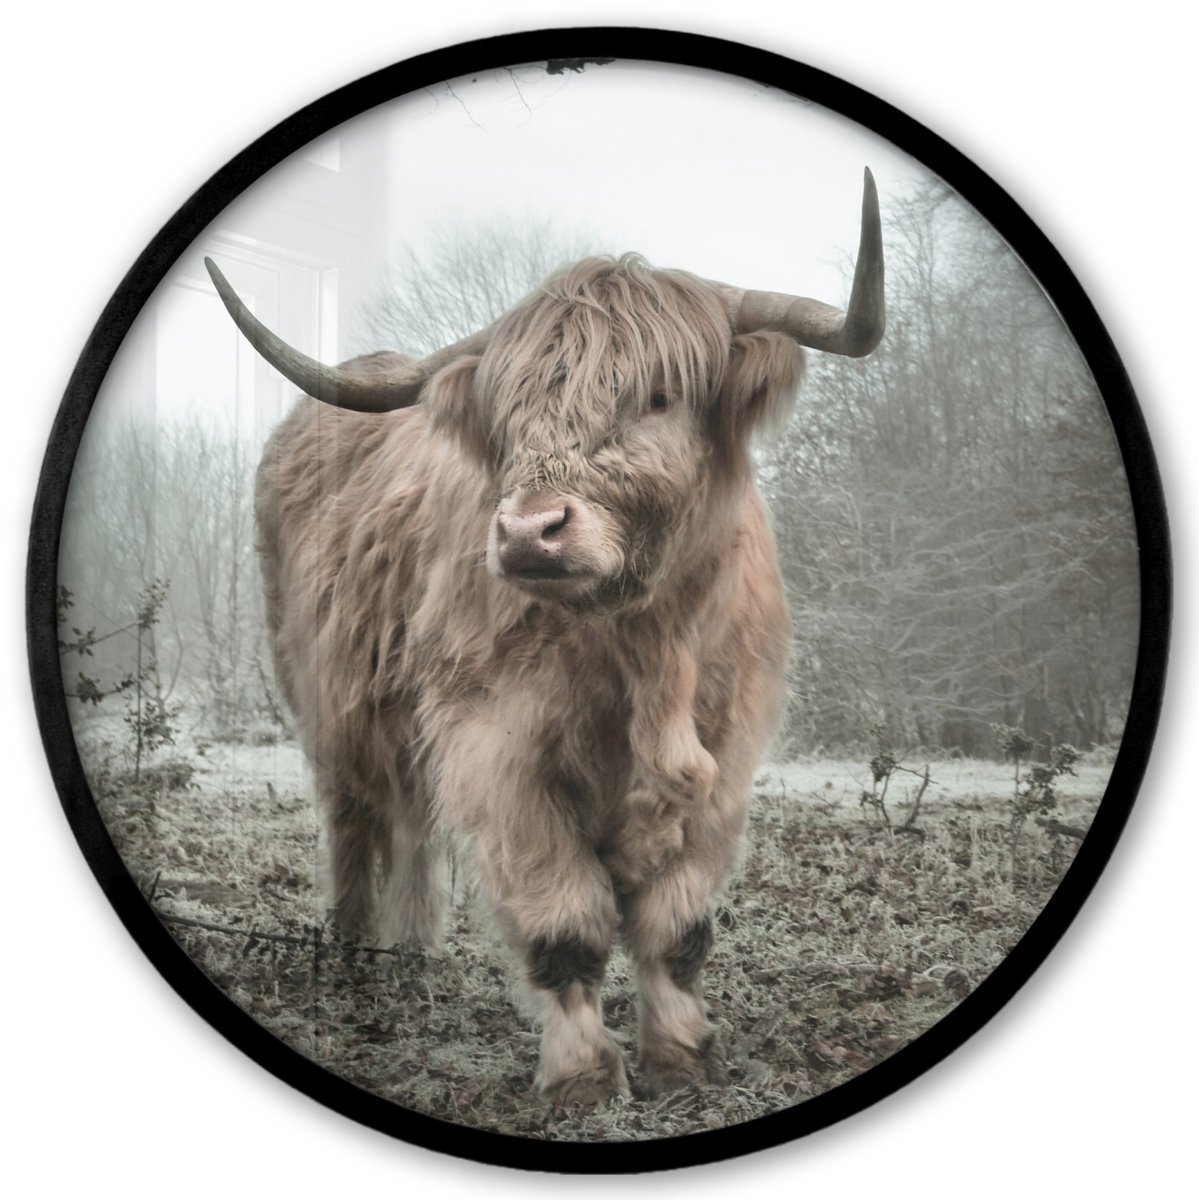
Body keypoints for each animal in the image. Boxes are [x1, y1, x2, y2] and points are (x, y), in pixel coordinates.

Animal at [204, 170, 884, 1105]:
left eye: (658, 396)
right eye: (509, 414)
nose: (529, 532)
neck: (643, 650)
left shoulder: (725, 755)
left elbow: (677, 927)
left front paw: (682, 1060)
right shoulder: (498, 752)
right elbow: (566, 923)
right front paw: (582, 1078)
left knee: (410, 826)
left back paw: (412, 954)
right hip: (325, 701)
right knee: (355, 821)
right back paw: (355, 957)